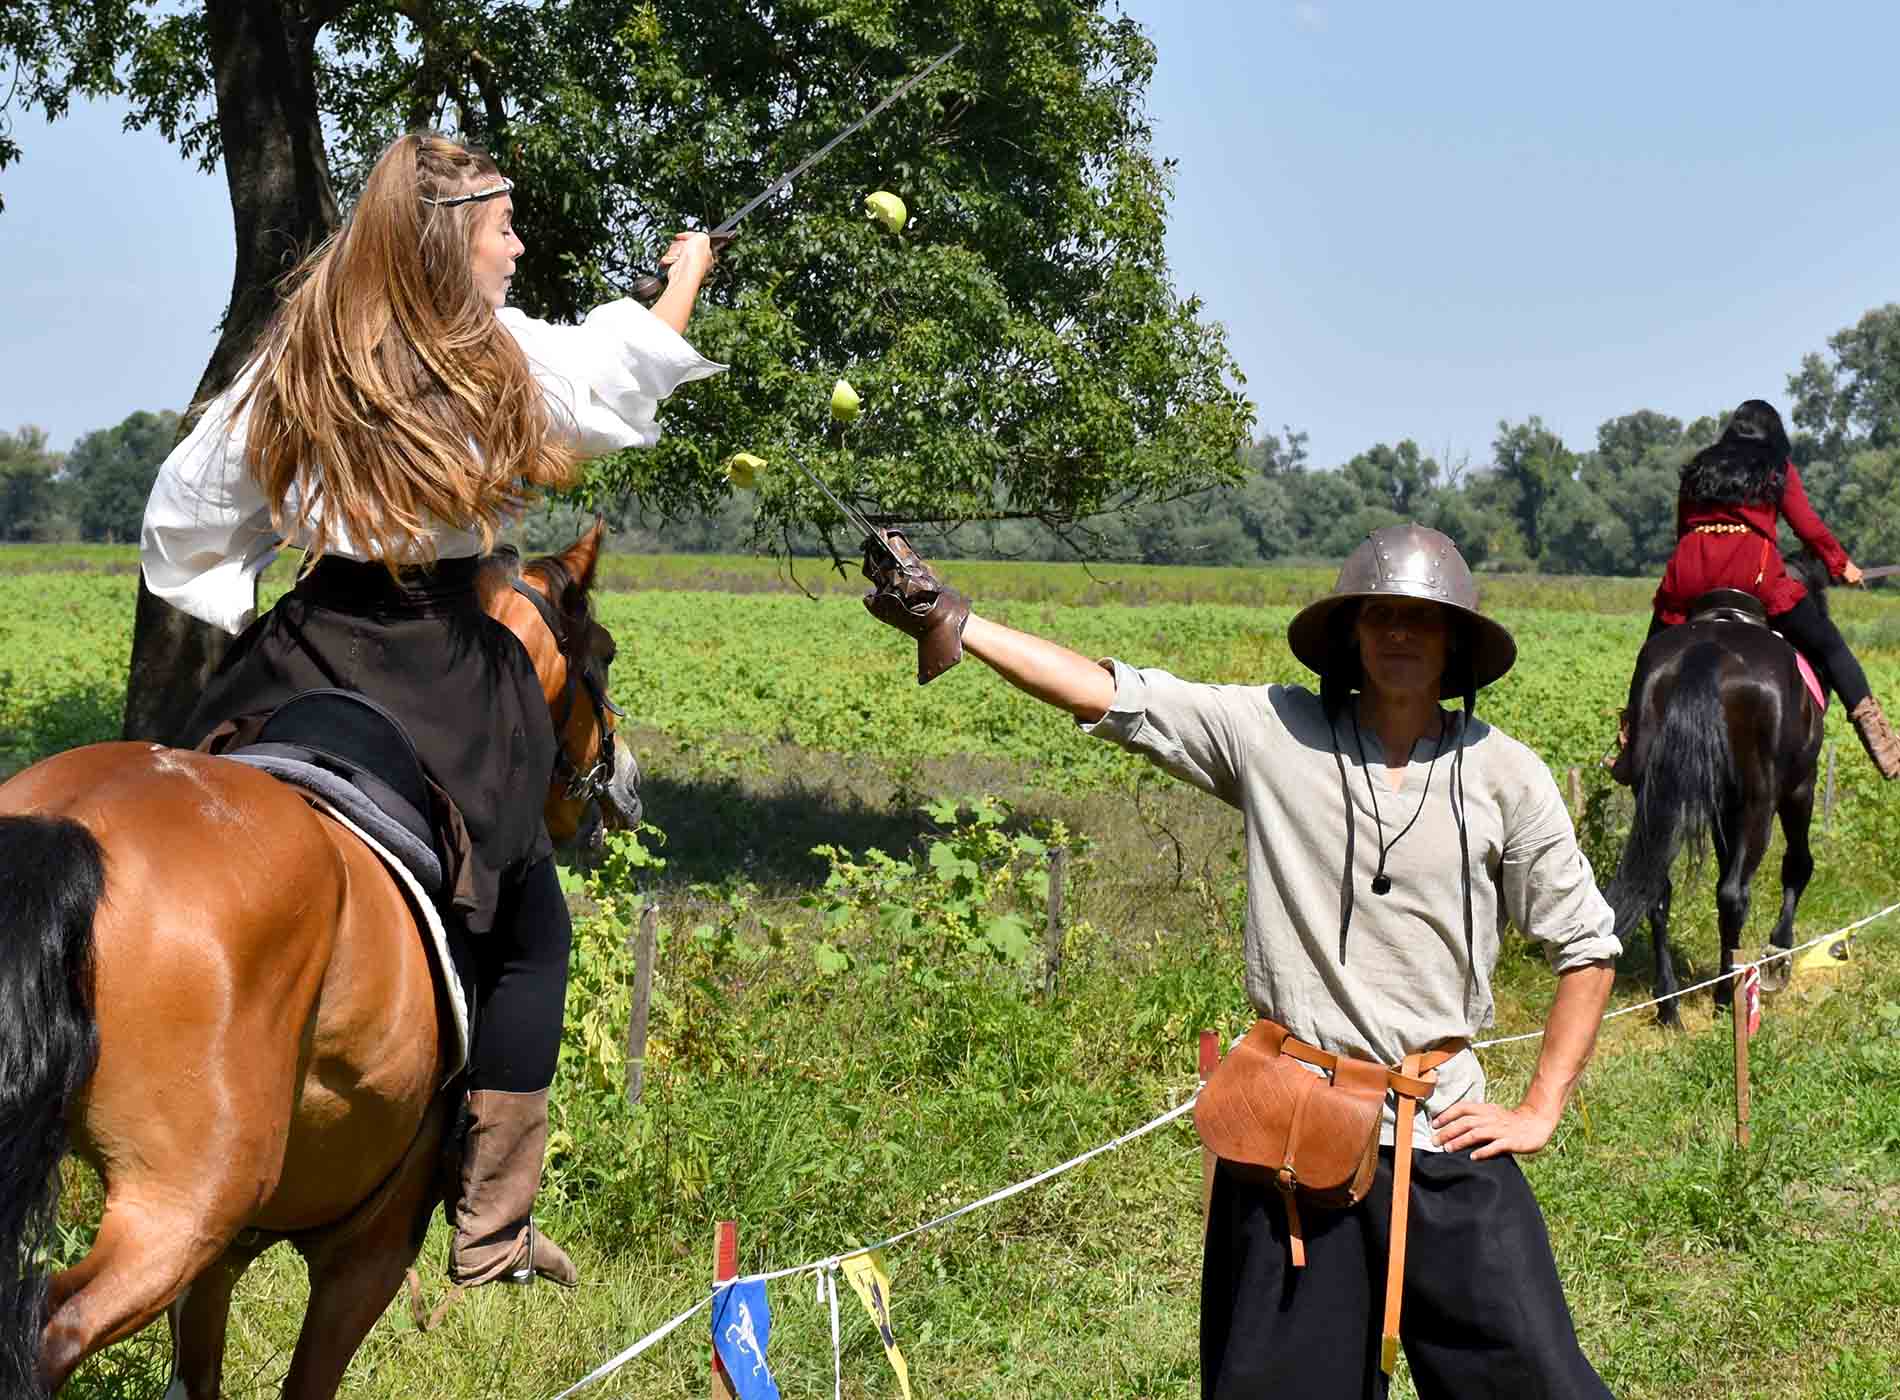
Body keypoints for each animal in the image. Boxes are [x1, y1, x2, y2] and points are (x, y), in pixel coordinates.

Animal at [0, 524, 638, 1398]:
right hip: (178, 1210)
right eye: (601, 654)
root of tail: (75, 823)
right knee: (47, 1333)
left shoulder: (221, 1263)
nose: (625, 780)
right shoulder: (367, 1252)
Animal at [1604, 558, 1831, 1028]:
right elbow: (1798, 865)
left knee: (1659, 891)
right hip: (1763, 802)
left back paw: (1669, 1005)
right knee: (1733, 894)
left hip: (1658, 797)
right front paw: (1779, 954)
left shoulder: (1723, 809)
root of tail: (1708, 652)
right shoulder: (1799, 787)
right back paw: (1728, 995)